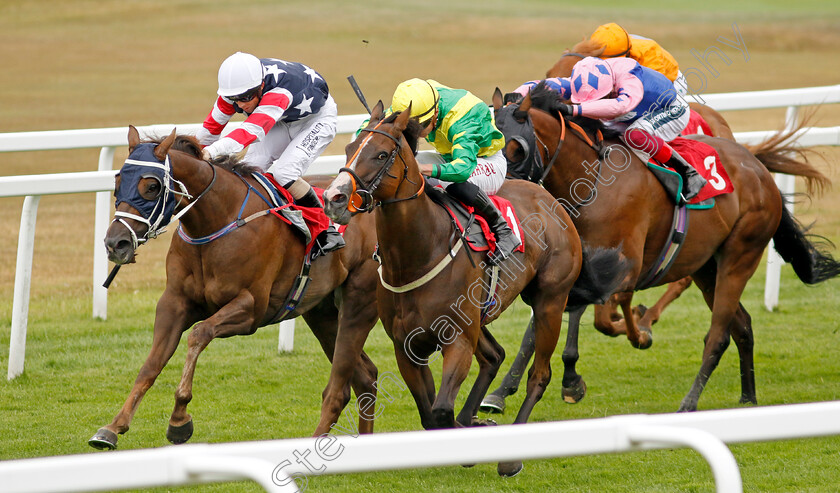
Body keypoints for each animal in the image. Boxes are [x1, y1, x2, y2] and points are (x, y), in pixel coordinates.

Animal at [89, 127, 380, 450]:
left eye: (151, 186)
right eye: (117, 182)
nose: (115, 243)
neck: (215, 224)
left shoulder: (251, 308)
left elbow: (199, 334)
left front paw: (179, 418)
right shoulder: (174, 303)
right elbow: (151, 364)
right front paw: (112, 427)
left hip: (359, 302)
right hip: (322, 313)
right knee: (366, 377)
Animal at [320, 104, 616, 476]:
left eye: (382, 154)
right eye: (348, 149)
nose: (334, 198)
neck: (418, 254)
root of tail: (549, 198)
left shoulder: (458, 338)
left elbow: (441, 409)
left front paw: (474, 438)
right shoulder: (407, 346)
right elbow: (430, 413)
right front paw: (469, 430)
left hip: (549, 300)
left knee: (539, 374)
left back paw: (511, 457)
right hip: (481, 314)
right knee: (494, 355)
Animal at [486, 84, 840, 412]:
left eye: (516, 147)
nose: (502, 197)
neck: (592, 182)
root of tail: (758, 168)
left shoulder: (619, 269)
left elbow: (600, 317)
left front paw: (629, 336)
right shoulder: (570, 270)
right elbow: (541, 327)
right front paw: (502, 392)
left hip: (740, 256)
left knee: (718, 334)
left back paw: (689, 401)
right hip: (706, 268)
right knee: (741, 326)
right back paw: (748, 397)